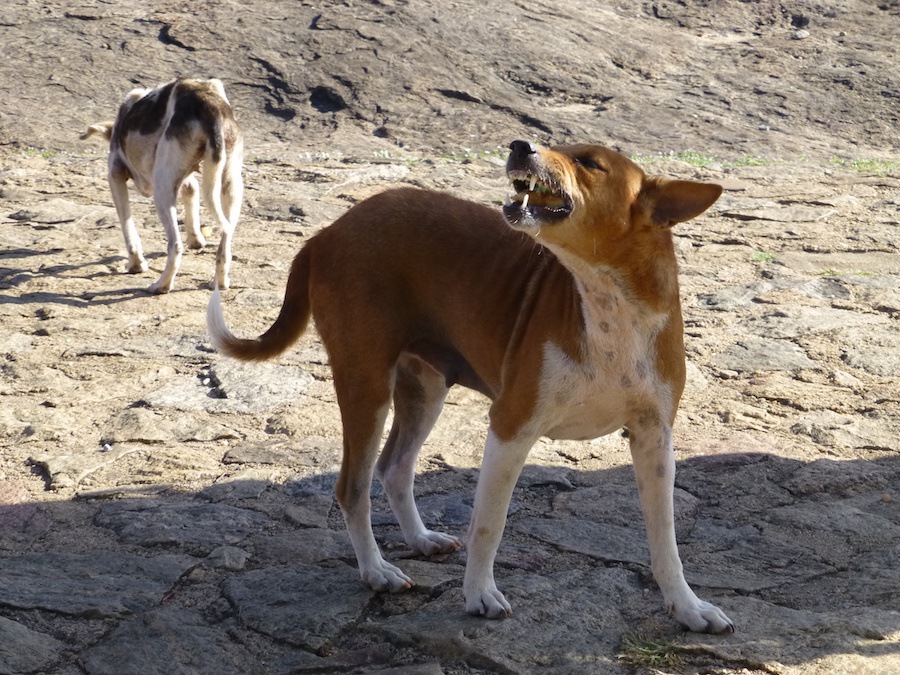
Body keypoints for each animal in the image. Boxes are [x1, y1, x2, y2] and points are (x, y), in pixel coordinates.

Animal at [80, 77, 241, 294]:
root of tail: (209, 106)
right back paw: (219, 282)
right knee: (224, 245)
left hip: (162, 190)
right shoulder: (185, 179)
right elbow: (192, 192)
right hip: (231, 187)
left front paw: (136, 264)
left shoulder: (115, 174)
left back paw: (161, 285)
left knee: (175, 245)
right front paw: (196, 238)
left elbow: (128, 229)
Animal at [207, 139, 736, 632]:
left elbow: (666, 539)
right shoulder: (510, 427)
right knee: (352, 487)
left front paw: (688, 608)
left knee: (394, 467)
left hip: (425, 390)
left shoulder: (654, 439)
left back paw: (420, 539)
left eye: (589, 162)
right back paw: (376, 570)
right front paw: (479, 593)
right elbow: (489, 524)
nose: (521, 145)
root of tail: (327, 232)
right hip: (366, 385)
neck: (608, 305)